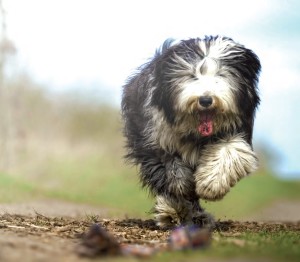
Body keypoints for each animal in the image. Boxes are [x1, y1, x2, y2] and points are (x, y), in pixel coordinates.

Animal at [121, 35, 260, 228]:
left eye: (221, 74)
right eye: (191, 75)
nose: (206, 100)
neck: (196, 133)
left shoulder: (236, 130)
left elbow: (230, 151)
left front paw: (212, 185)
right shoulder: (154, 137)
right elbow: (170, 170)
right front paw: (175, 203)